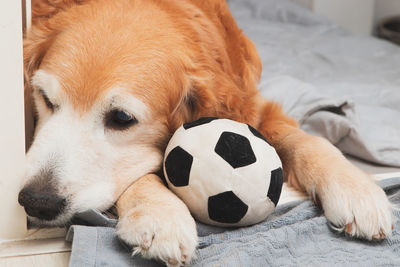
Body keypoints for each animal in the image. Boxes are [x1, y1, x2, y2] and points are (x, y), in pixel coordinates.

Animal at [20, 0, 392, 266]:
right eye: (46, 99)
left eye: (122, 118)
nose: (36, 201)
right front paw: (160, 213)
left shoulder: (254, 108)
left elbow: (307, 141)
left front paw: (357, 188)